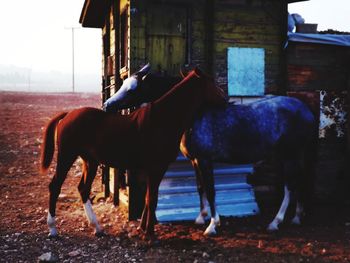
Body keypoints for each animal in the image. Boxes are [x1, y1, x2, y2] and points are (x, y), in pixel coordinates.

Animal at [39, 68, 226, 239]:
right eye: (211, 82)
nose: (224, 98)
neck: (163, 118)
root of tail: (68, 115)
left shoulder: (153, 169)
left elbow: (148, 198)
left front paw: (144, 229)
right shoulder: (157, 168)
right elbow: (152, 199)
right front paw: (150, 234)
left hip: (90, 161)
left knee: (83, 189)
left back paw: (97, 227)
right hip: (67, 156)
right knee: (55, 187)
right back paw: (53, 229)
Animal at [106, 67, 318, 236]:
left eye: (132, 89)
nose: (108, 105)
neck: (196, 114)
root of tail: (306, 110)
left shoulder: (205, 160)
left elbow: (211, 190)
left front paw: (212, 225)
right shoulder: (195, 161)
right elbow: (200, 188)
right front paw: (201, 218)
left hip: (290, 155)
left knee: (290, 186)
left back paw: (275, 222)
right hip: (292, 156)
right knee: (299, 181)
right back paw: (296, 218)